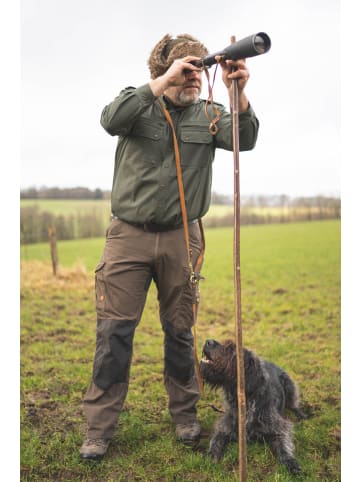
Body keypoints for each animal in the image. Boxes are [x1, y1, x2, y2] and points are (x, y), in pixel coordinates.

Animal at [201, 338, 306, 474]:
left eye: (231, 349)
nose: (208, 341)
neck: (245, 400)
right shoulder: (224, 427)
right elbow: (216, 440)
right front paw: (211, 456)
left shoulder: (278, 427)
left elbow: (283, 445)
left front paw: (291, 463)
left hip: (289, 385)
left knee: (293, 404)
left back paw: (301, 414)